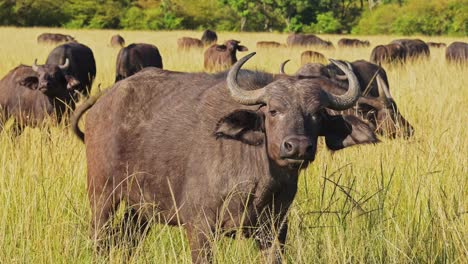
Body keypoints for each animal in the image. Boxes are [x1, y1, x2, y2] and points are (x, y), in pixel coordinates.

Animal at [74, 53, 380, 262]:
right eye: (273, 111)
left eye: (317, 114)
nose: (297, 147)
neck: (259, 180)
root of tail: (105, 100)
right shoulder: (200, 229)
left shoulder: (274, 231)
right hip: (102, 196)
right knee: (99, 238)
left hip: (139, 210)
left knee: (126, 241)